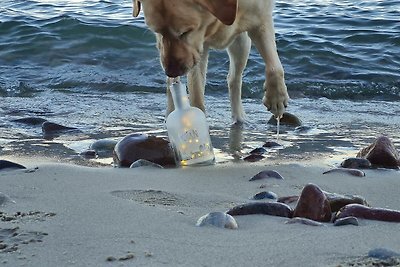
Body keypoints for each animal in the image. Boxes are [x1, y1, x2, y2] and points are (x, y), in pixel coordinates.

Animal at [133, 0, 290, 122]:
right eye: (158, 31)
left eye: (184, 33)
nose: (171, 71)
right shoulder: (197, 50)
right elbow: (197, 93)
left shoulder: (261, 20)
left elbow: (275, 66)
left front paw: (277, 99)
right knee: (173, 84)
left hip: (241, 43)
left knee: (234, 78)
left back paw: (239, 118)